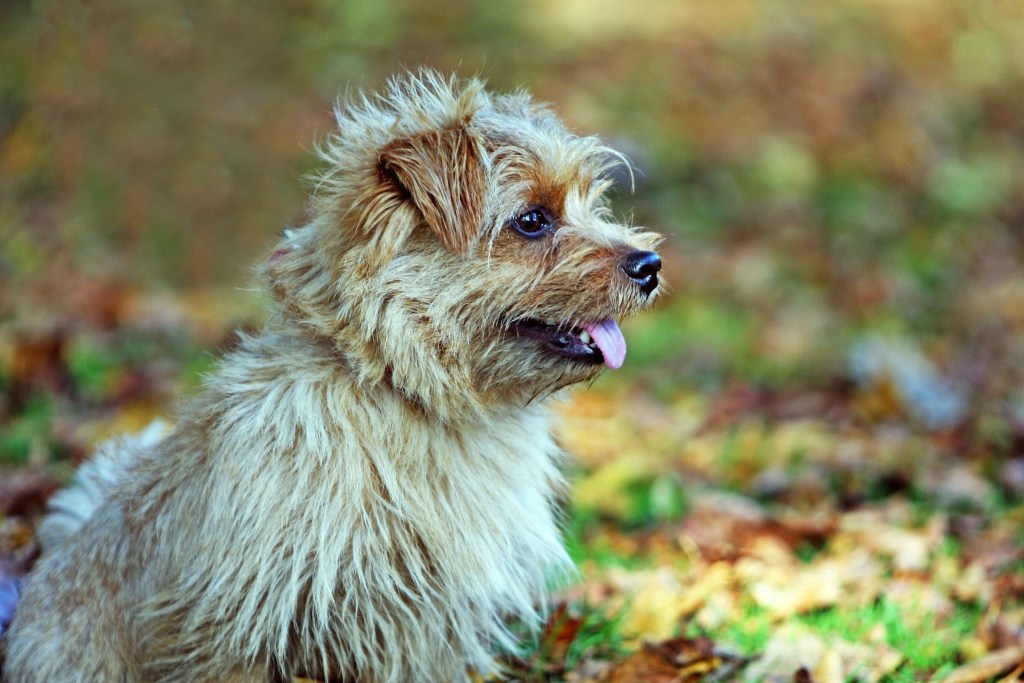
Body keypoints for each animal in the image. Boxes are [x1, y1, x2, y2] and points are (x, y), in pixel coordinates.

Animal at [2, 70, 663, 683]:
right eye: (531, 220)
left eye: (589, 204)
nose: (650, 264)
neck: (403, 392)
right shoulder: (229, 625)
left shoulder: (423, 633)